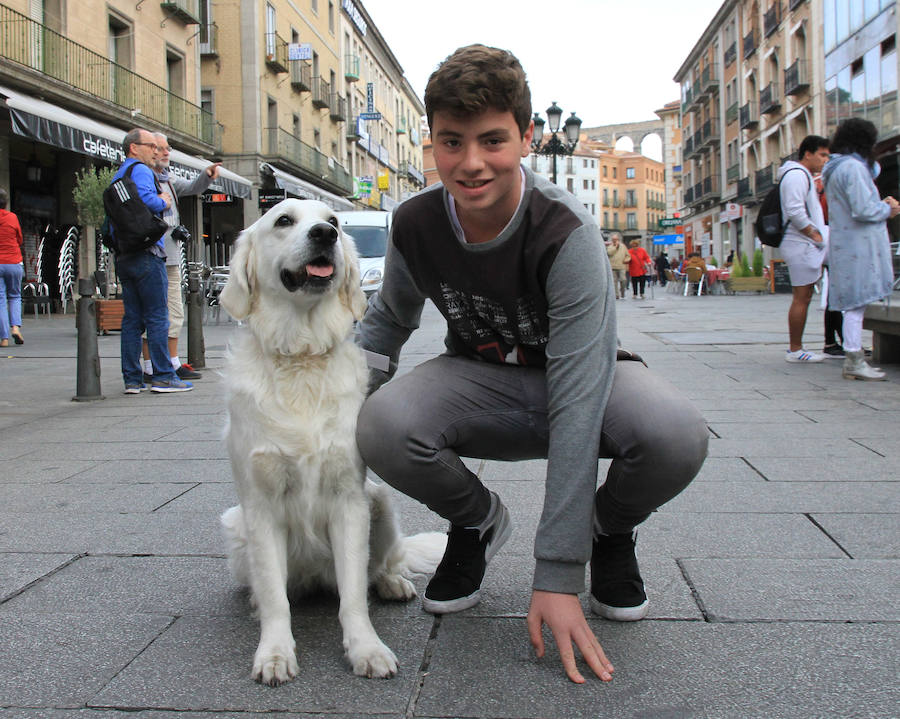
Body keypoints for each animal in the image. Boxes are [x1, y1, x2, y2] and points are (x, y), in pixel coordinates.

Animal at [218, 198, 442, 688]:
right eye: (283, 220)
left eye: (334, 220)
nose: (325, 235)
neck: (301, 355)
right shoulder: (260, 505)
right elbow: (275, 597)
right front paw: (275, 653)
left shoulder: (349, 500)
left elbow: (354, 595)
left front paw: (366, 649)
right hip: (235, 523)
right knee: (271, 587)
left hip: (380, 502)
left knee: (383, 564)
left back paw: (391, 582)